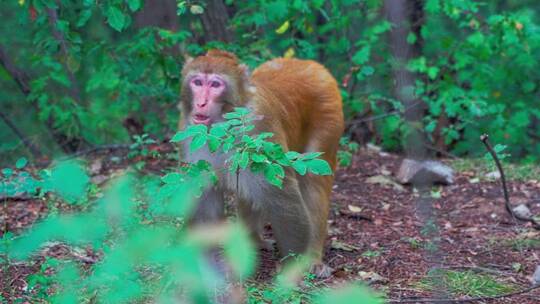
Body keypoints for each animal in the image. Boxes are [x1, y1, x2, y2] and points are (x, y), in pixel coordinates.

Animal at [179, 50, 344, 278]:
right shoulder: (190, 133)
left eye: (215, 84)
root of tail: (308, 63)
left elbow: (284, 203)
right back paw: (254, 241)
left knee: (313, 183)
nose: (201, 103)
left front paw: (291, 268)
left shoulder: (260, 129)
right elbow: (206, 200)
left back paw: (313, 257)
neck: (224, 123)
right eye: (197, 82)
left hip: (329, 116)